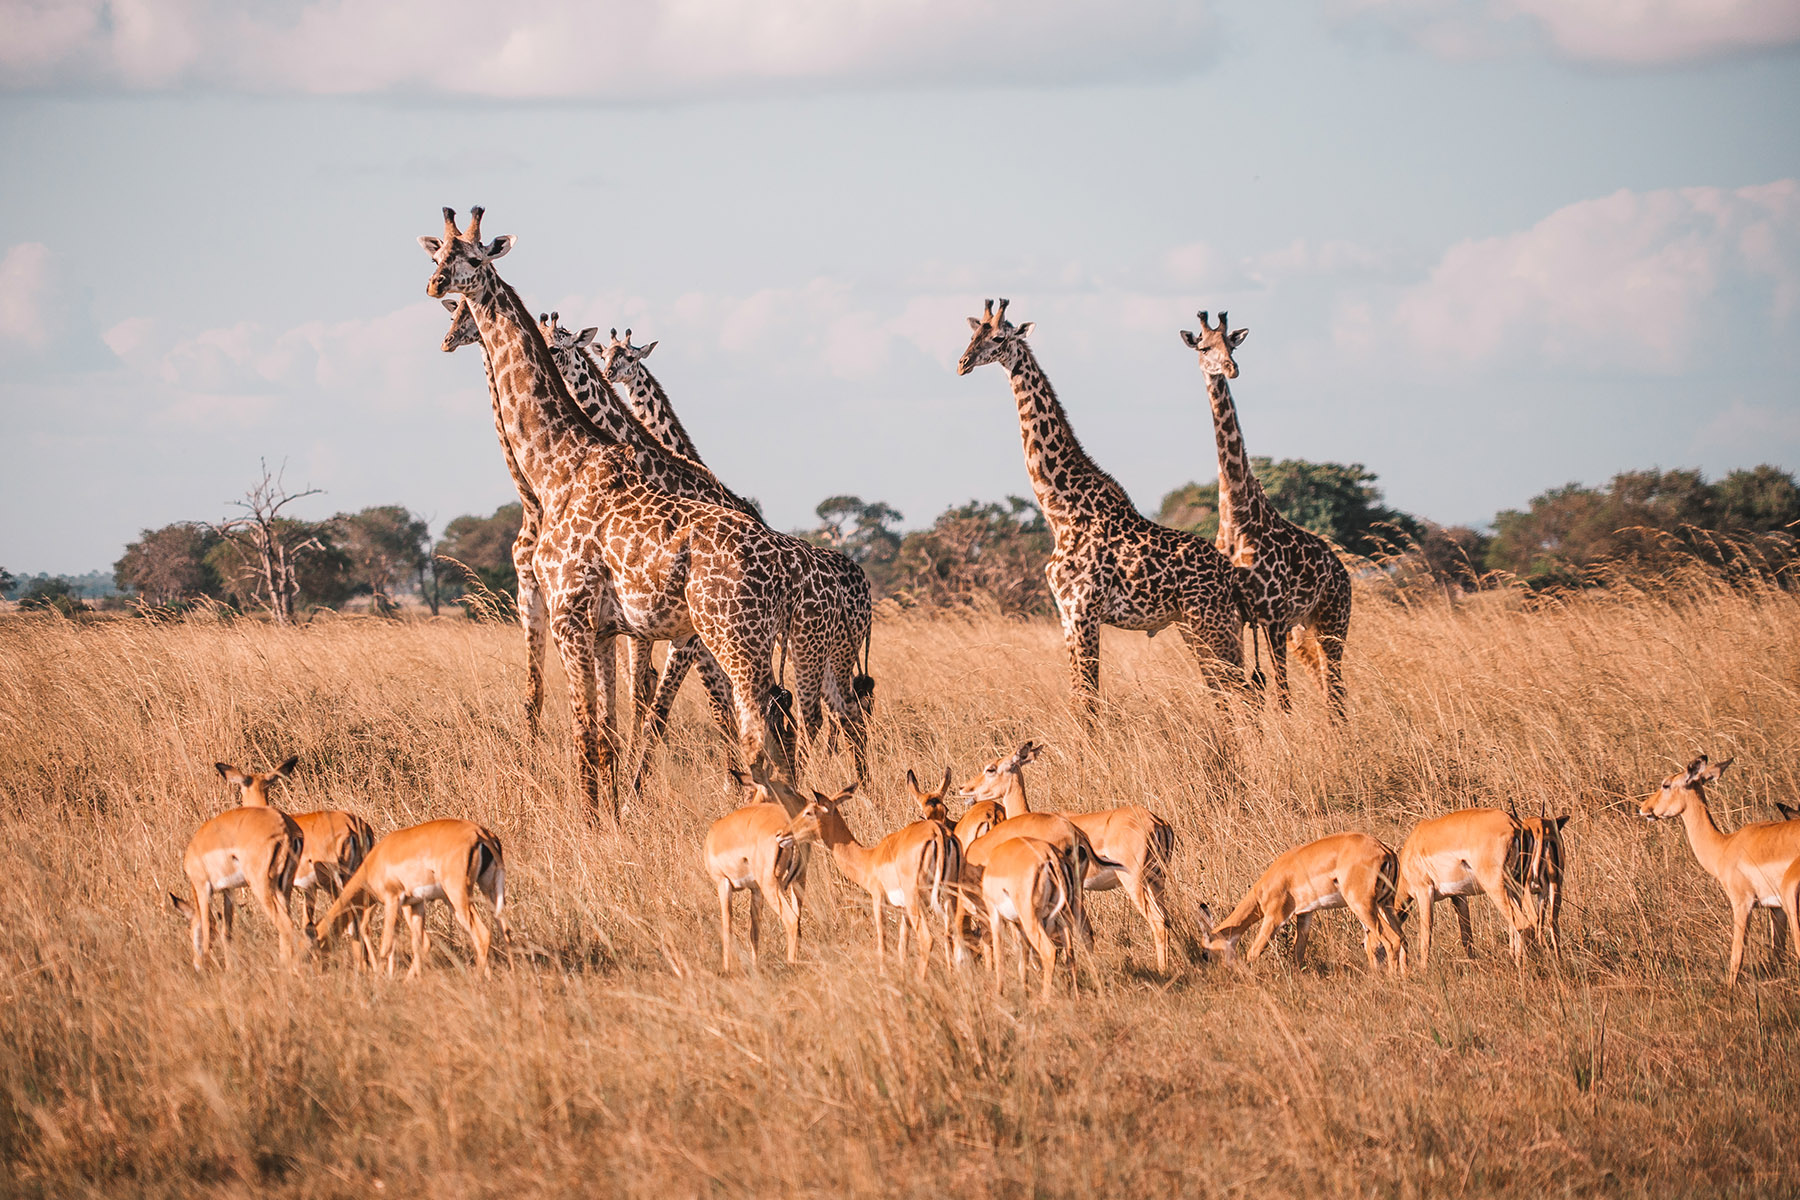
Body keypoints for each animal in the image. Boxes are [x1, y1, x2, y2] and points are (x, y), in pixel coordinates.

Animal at [417, 211, 792, 820]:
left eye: (472, 259)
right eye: (436, 256)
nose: (435, 290)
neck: (553, 470)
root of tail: (778, 559)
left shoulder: (571, 615)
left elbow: (590, 731)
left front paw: (597, 821)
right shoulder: (594, 625)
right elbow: (598, 727)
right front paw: (610, 814)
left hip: (723, 639)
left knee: (756, 730)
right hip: (730, 643)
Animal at [597, 323, 878, 784]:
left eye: (631, 357)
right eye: (607, 353)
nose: (608, 372)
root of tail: (865, 585)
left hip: (827, 645)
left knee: (833, 711)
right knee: (839, 709)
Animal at [957, 300, 1252, 708]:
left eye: (999, 337)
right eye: (973, 334)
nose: (963, 362)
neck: (1060, 510)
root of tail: (1232, 574)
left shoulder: (1083, 610)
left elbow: (1088, 701)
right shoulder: (1066, 615)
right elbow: (1080, 696)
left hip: (1213, 622)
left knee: (1243, 692)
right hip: (1195, 626)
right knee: (1227, 692)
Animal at [1180, 313, 1353, 723]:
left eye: (1232, 344)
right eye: (1204, 347)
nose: (1230, 368)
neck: (1237, 517)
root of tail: (1344, 574)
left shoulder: (1273, 616)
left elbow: (1283, 697)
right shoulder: (1245, 618)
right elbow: (1253, 690)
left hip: (1333, 622)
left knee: (1336, 691)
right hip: (1305, 630)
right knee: (1327, 687)